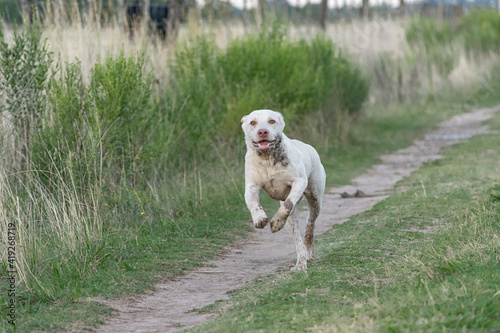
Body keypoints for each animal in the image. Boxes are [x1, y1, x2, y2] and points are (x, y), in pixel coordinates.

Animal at [240, 109, 326, 270]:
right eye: (253, 122)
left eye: (272, 121)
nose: (262, 131)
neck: (267, 159)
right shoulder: (251, 187)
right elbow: (253, 204)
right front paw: (259, 218)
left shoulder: (299, 182)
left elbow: (288, 203)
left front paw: (276, 221)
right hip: (291, 222)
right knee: (298, 240)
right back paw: (300, 263)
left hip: (315, 199)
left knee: (310, 225)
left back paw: (307, 252)